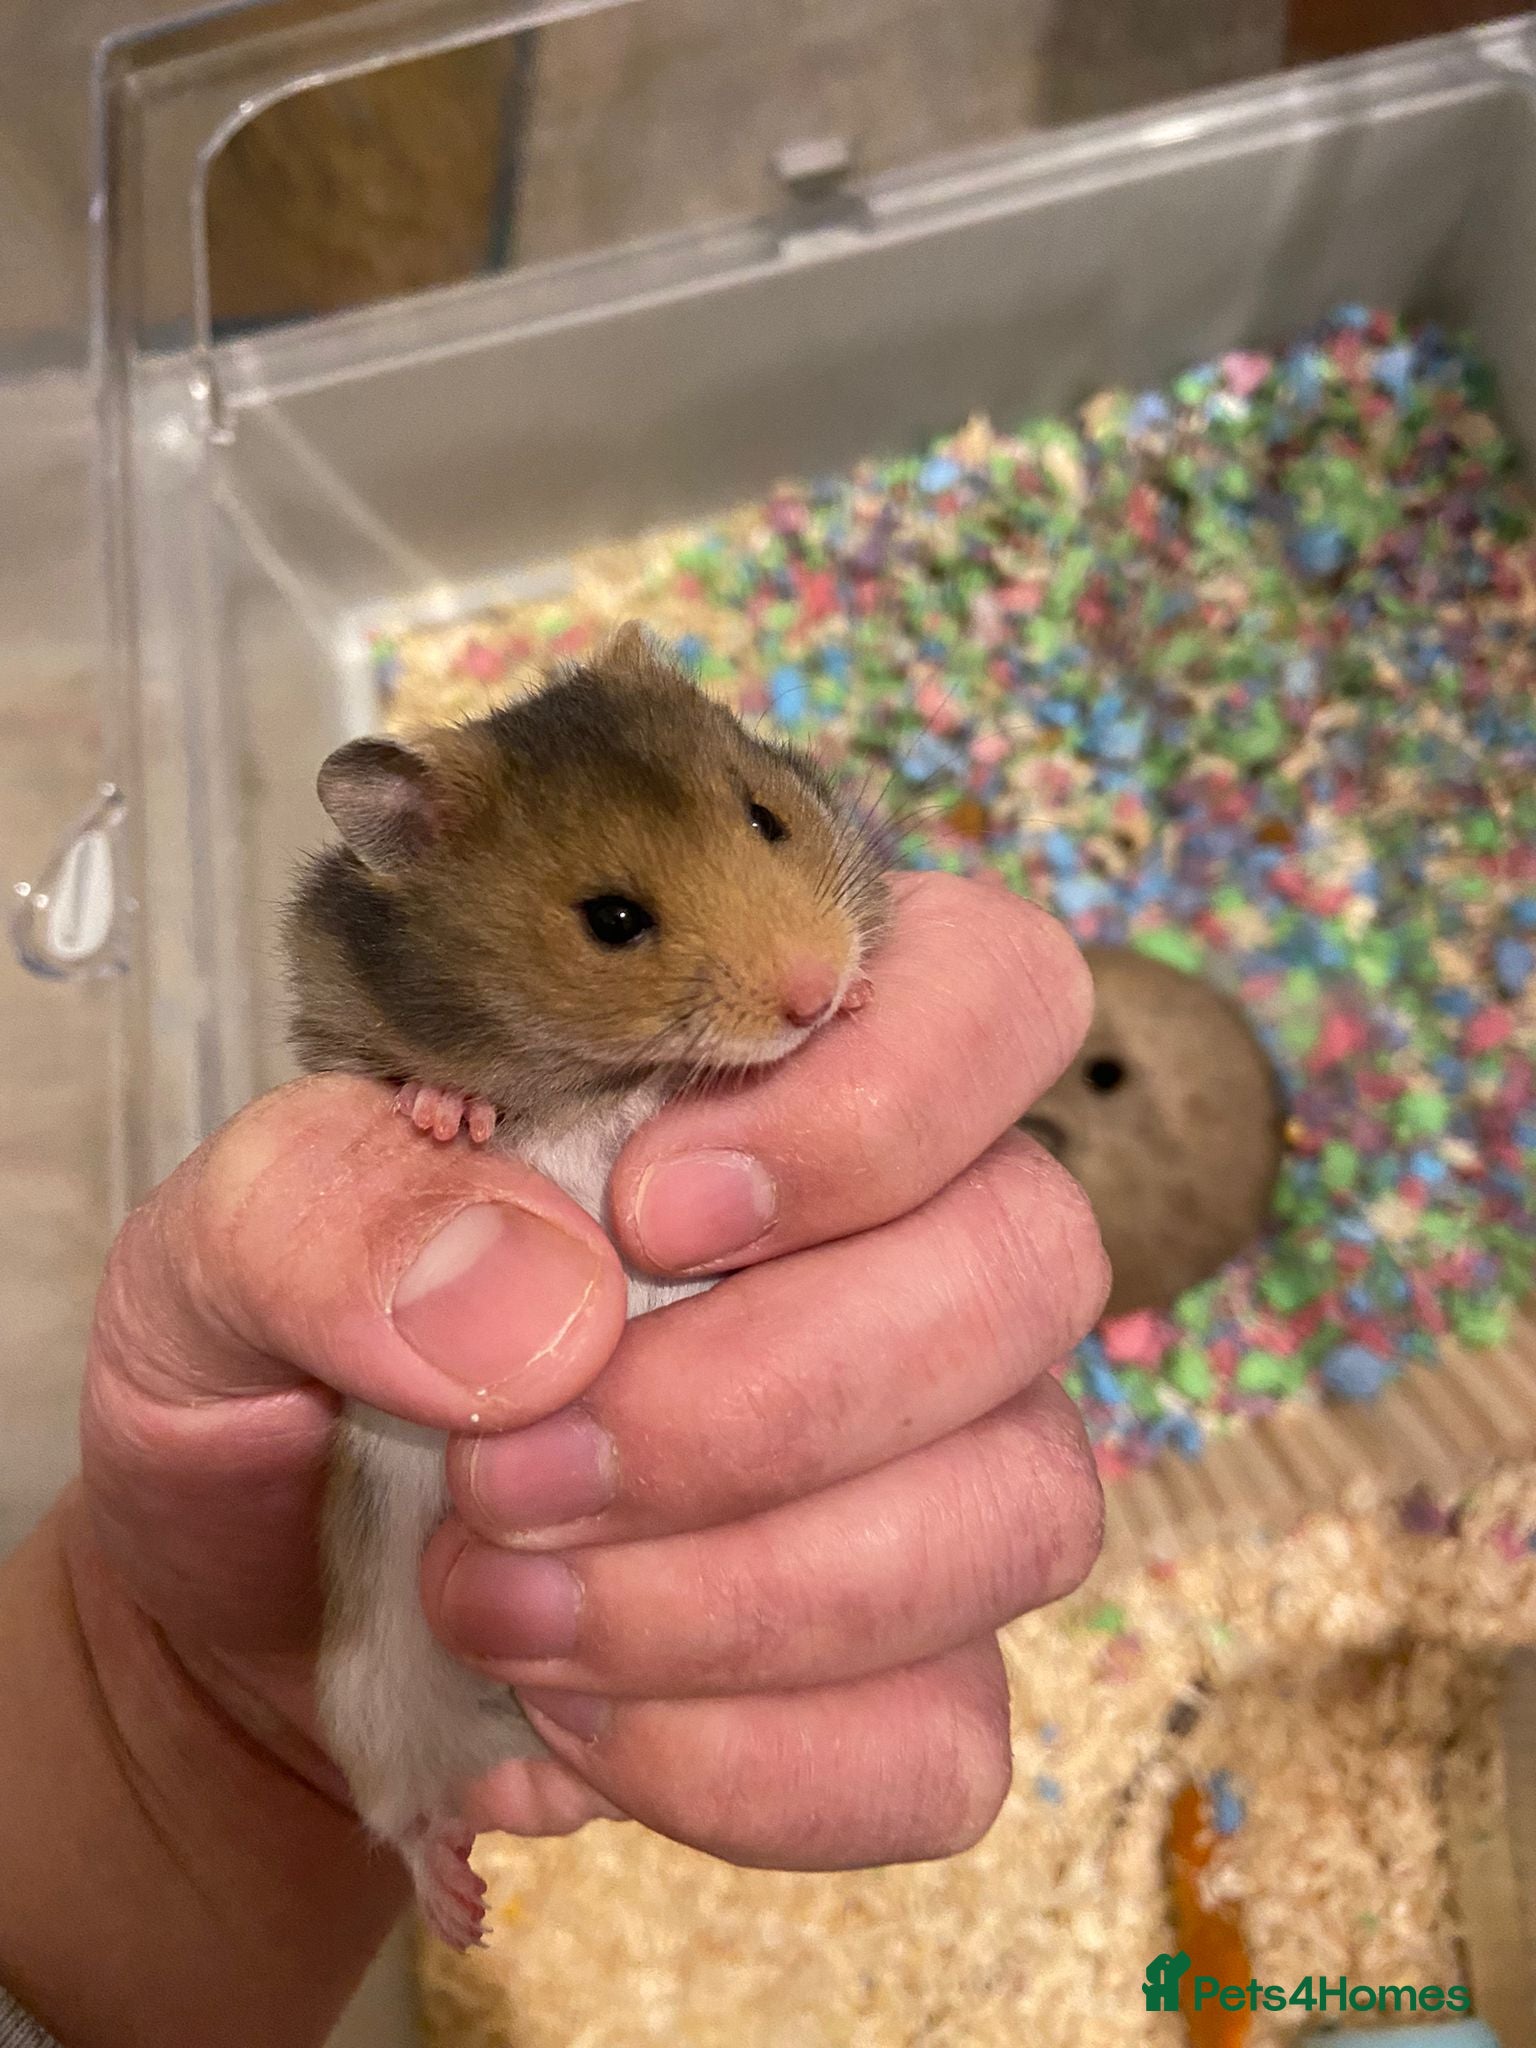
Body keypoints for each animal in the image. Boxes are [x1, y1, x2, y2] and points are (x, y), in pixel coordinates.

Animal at [284, 622, 890, 1947]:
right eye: (613, 918)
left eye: (766, 818)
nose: (817, 992)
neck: (611, 1071)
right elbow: (415, 1084)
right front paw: (445, 1114)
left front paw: (872, 999)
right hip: (358, 1694)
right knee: (406, 1816)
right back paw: (463, 1912)